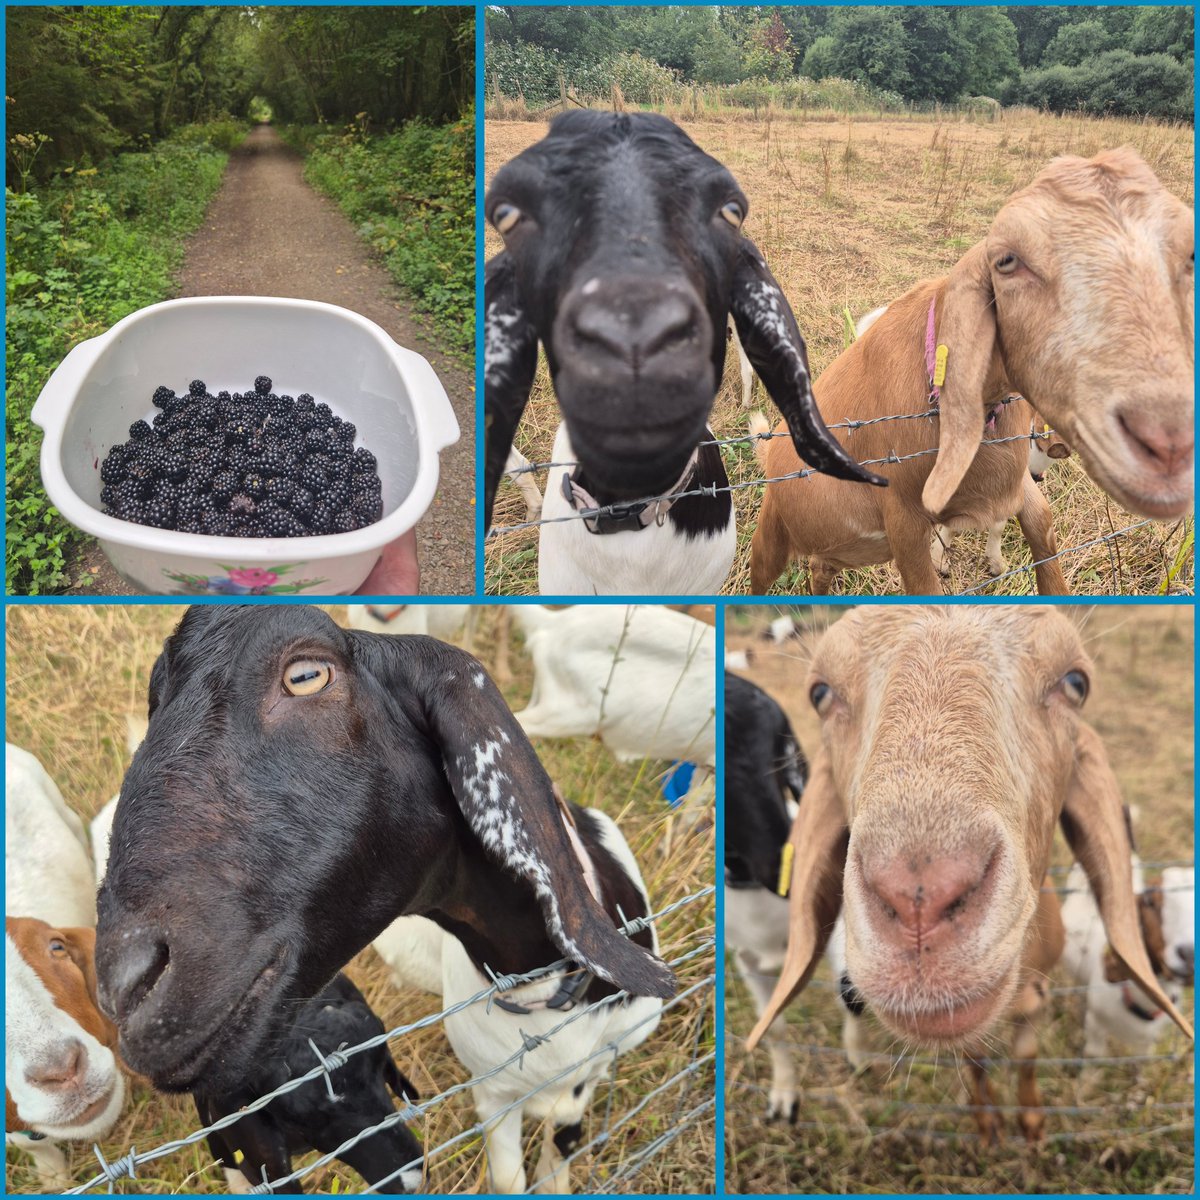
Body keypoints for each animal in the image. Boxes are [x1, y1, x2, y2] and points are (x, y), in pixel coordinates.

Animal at [92, 606, 675, 1194]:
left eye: (307, 675)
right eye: (154, 699)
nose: (128, 989)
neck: (542, 989)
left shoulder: (600, 1063)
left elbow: (565, 1139)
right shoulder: (491, 1093)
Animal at [745, 606, 1193, 1143]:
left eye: (1076, 683)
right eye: (820, 693)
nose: (919, 900)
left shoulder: (1036, 993)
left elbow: (1026, 1055)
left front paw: (1032, 1122)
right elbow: (975, 1057)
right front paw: (986, 1122)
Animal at [750, 148, 1193, 596]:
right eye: (1007, 261)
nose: (1166, 442)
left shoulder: (1013, 479)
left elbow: (1042, 524)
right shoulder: (903, 517)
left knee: (820, 567)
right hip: (771, 534)